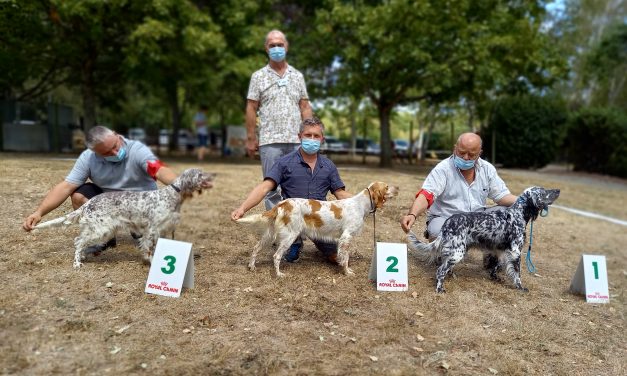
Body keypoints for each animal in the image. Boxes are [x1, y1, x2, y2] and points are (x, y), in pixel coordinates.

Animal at [35, 169, 216, 268]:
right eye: (200, 174)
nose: (214, 175)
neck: (173, 195)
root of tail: (88, 204)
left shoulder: (166, 228)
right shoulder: (152, 229)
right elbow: (149, 248)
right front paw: (151, 261)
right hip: (101, 229)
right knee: (78, 241)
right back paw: (77, 263)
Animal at [236, 181, 398, 276]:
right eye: (387, 186)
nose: (398, 188)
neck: (360, 204)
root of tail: (282, 204)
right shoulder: (346, 237)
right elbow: (345, 258)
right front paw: (347, 271)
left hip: (270, 235)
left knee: (256, 248)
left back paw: (252, 267)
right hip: (289, 236)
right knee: (276, 256)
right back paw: (279, 274)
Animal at [410, 187, 560, 292]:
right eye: (543, 191)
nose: (558, 190)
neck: (518, 214)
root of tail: (448, 223)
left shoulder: (502, 250)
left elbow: (497, 265)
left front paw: (495, 277)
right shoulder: (516, 252)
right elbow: (517, 274)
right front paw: (520, 287)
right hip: (458, 252)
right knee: (440, 270)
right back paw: (440, 288)